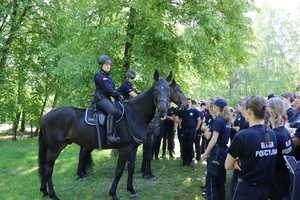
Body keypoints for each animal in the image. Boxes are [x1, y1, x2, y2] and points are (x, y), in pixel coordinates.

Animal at [38, 70, 171, 200]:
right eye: (156, 90)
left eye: (169, 90)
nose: (162, 111)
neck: (134, 114)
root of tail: (45, 117)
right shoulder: (124, 148)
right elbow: (119, 171)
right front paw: (113, 194)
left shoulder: (133, 148)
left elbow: (131, 169)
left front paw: (131, 190)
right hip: (54, 149)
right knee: (48, 169)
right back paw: (54, 195)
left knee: (47, 169)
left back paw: (45, 192)